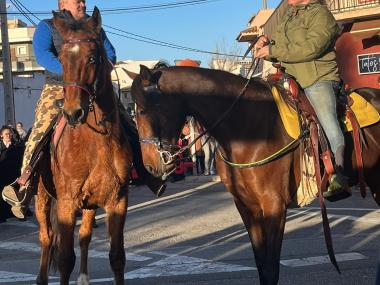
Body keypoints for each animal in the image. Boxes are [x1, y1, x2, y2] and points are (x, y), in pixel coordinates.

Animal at [35, 7, 132, 282]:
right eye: (61, 59)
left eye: (92, 58)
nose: (72, 113)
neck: (96, 144)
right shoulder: (67, 203)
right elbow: (65, 259)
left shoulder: (117, 200)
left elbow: (117, 258)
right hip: (42, 199)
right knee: (47, 239)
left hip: (89, 204)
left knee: (85, 236)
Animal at [130, 65, 380, 284]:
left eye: (142, 110)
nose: (149, 166)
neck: (248, 128)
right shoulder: (247, 207)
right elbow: (261, 265)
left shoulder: (273, 205)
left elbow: (270, 269)